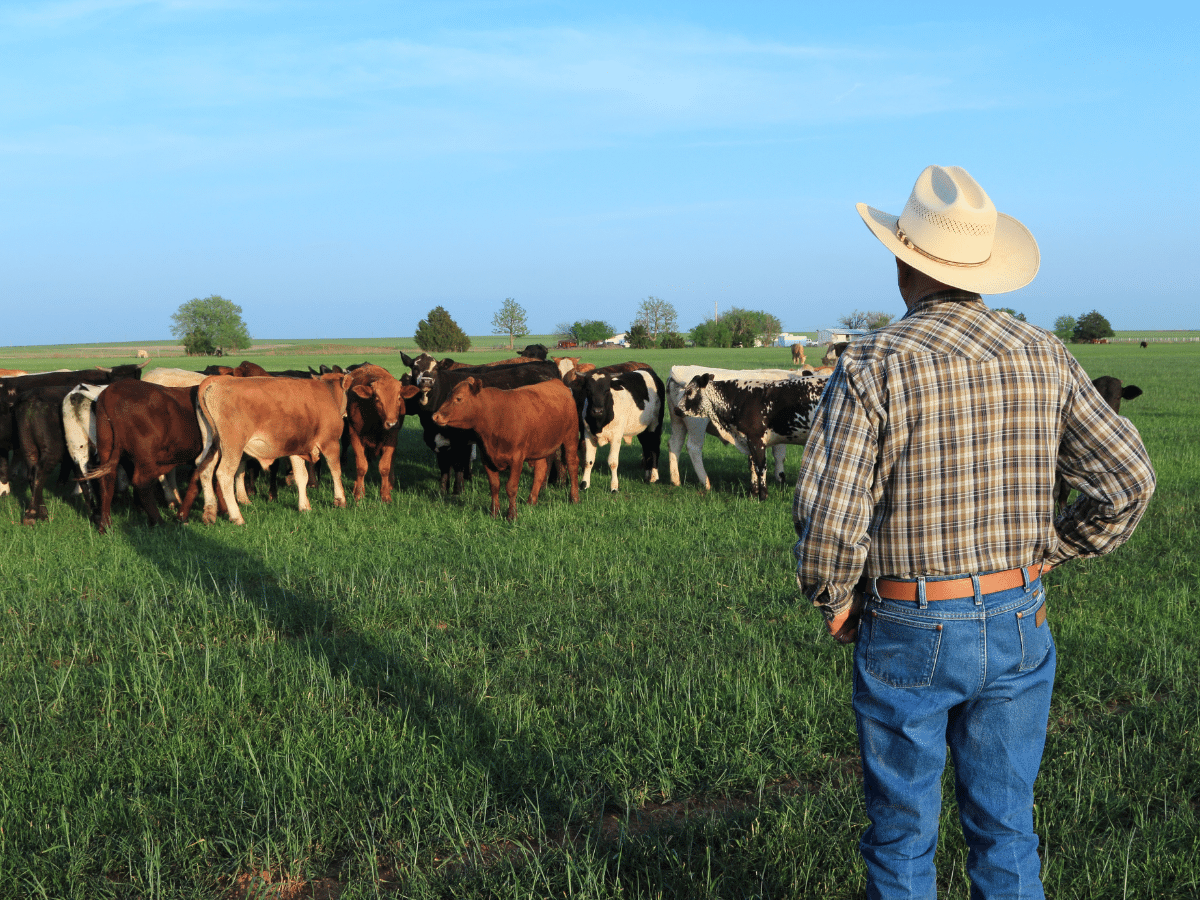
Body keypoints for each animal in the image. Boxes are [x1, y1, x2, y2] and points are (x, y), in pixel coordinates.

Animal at [186, 374, 348, 528]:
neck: (328, 393)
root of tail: (218, 380)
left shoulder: (296, 448)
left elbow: (301, 476)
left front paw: (304, 506)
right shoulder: (331, 442)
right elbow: (336, 471)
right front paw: (340, 500)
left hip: (212, 443)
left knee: (204, 468)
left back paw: (209, 512)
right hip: (233, 446)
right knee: (224, 474)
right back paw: (237, 517)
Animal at [343, 367, 422, 508]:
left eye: (399, 398)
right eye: (377, 399)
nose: (391, 423)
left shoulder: (392, 437)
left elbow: (385, 467)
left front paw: (385, 496)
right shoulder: (355, 436)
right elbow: (361, 467)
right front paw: (359, 494)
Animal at [432, 376, 580, 520]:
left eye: (459, 398)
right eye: (447, 396)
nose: (435, 416)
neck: (496, 417)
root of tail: (557, 382)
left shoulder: (517, 458)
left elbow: (511, 487)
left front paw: (512, 515)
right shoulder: (487, 458)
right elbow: (494, 486)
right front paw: (494, 513)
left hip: (570, 437)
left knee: (572, 464)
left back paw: (574, 498)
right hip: (539, 446)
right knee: (541, 469)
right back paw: (531, 501)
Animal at [681, 369, 830, 504]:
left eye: (689, 392)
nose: (678, 409)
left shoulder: (756, 440)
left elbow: (760, 468)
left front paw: (763, 496)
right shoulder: (748, 440)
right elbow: (752, 467)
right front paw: (752, 494)